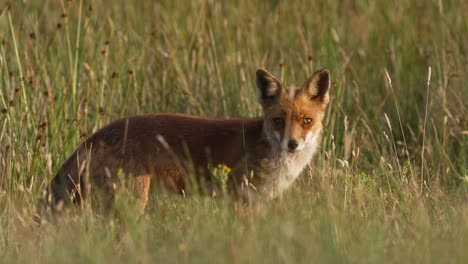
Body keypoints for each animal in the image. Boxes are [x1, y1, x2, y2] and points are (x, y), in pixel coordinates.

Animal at [46, 67, 330, 213]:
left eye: (307, 120)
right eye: (278, 120)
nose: (292, 144)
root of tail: (98, 134)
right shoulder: (242, 197)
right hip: (132, 202)